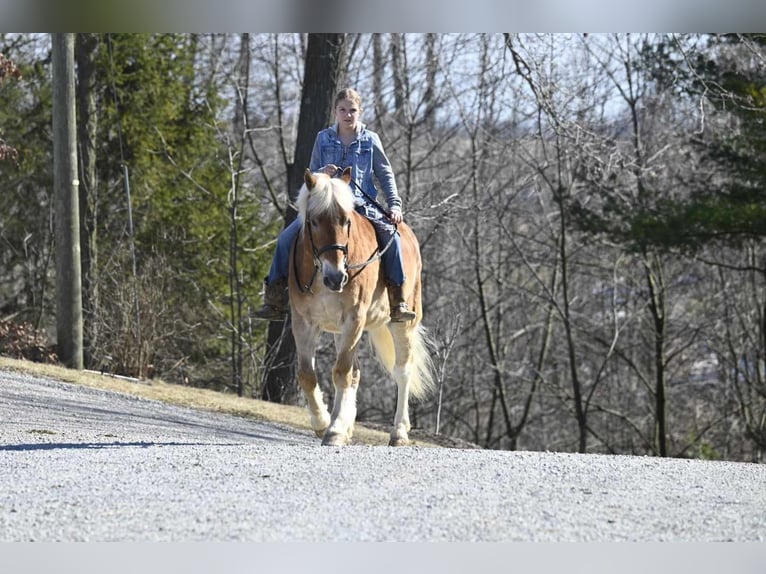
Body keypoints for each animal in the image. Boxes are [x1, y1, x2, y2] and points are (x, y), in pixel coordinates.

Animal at [288, 169, 436, 448]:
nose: (336, 278)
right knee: (355, 373)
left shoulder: (354, 320)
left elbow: (341, 373)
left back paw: (399, 432)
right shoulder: (303, 323)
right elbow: (307, 375)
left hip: (403, 324)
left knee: (402, 371)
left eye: (347, 221)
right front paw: (324, 424)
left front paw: (334, 430)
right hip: (340, 332)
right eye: (313, 221)